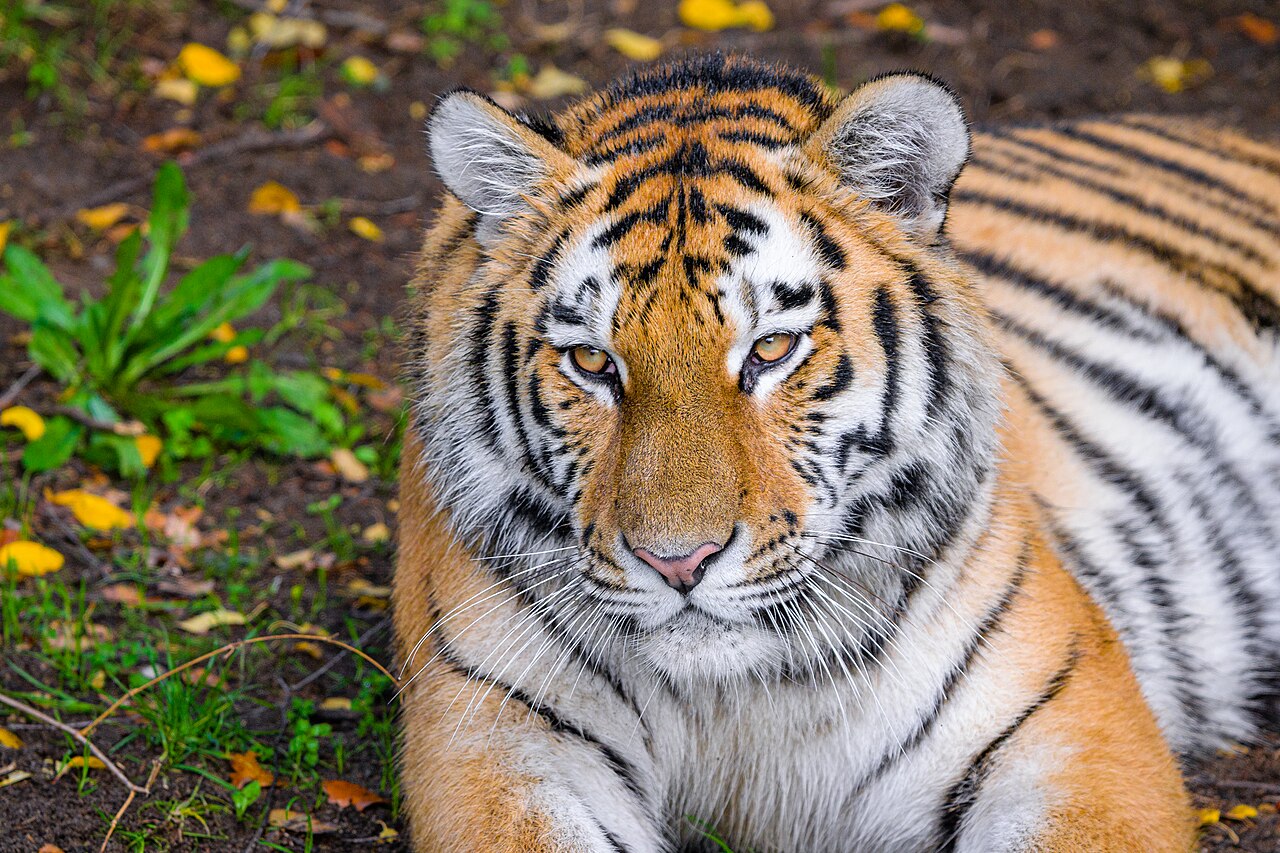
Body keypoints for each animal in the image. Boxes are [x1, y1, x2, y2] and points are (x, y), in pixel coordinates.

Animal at [393, 53, 1280, 852]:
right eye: (591, 361)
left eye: (771, 349)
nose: (678, 562)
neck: (737, 701)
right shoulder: (496, 737)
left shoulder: (1069, 720)